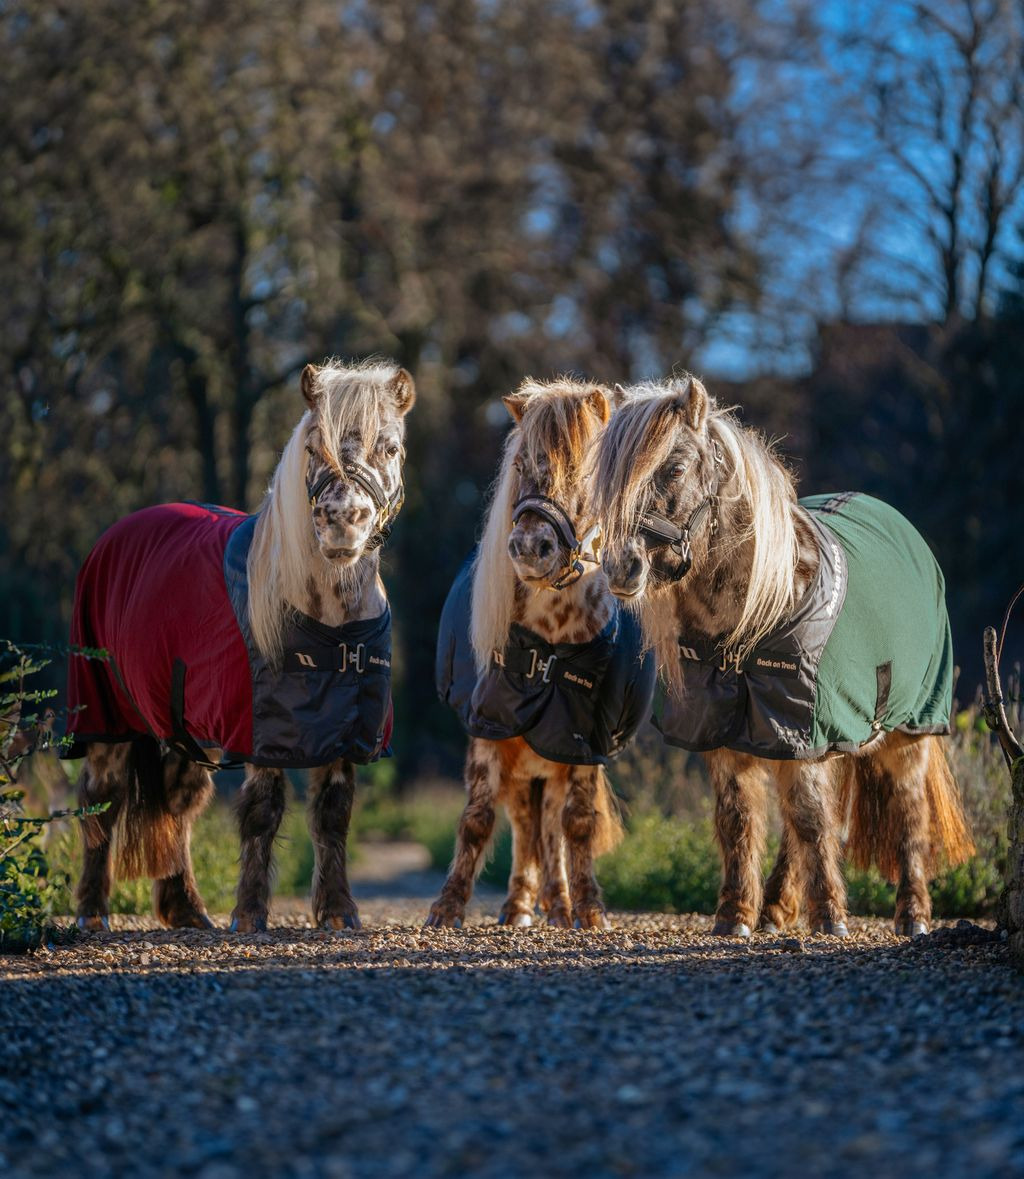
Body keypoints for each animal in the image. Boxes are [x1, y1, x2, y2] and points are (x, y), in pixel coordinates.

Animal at [66, 359, 415, 932]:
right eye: (313, 447)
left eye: (389, 447)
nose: (342, 521)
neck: (335, 632)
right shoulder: (259, 734)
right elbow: (262, 814)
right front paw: (250, 914)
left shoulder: (344, 734)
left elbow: (333, 817)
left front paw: (338, 912)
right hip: (106, 719)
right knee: (102, 801)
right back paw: (93, 914)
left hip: (184, 729)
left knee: (178, 804)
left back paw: (187, 910)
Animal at [427, 378, 655, 929]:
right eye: (518, 465)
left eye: (586, 471)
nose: (531, 545)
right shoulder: (488, 728)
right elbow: (477, 819)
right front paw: (447, 907)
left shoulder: (584, 743)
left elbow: (577, 823)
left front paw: (589, 908)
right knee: (526, 822)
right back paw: (519, 905)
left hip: (553, 759)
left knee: (550, 822)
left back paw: (558, 901)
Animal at [593, 375, 973, 937]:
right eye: (608, 479)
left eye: (675, 468)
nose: (622, 567)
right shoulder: (732, 737)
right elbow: (740, 821)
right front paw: (734, 916)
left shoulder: (802, 728)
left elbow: (813, 822)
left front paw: (831, 918)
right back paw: (774, 909)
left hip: (907, 731)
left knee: (906, 814)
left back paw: (913, 916)